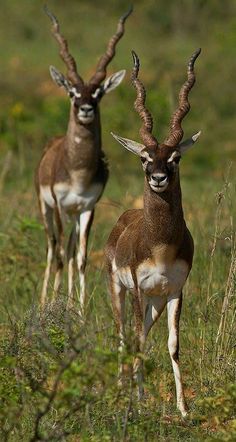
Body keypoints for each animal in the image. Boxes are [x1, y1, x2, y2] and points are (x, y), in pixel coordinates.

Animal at [36, 6, 134, 310]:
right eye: (72, 92)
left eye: (99, 93)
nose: (86, 109)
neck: (77, 172)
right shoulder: (57, 204)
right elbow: (57, 256)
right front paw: (50, 307)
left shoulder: (89, 207)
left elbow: (81, 259)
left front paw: (79, 311)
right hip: (47, 209)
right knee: (52, 248)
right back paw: (44, 301)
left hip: (74, 214)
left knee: (68, 249)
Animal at [105, 50, 201, 416]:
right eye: (145, 157)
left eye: (175, 158)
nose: (158, 178)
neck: (159, 246)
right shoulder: (136, 289)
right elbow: (134, 340)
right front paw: (133, 403)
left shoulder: (175, 290)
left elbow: (173, 345)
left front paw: (183, 409)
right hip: (120, 291)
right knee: (124, 335)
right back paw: (123, 390)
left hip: (155, 302)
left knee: (143, 335)